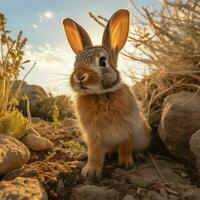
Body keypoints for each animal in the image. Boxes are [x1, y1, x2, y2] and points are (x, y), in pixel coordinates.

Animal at [61, 9, 151, 178]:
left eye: (102, 61)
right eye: (76, 63)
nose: (79, 76)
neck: (101, 94)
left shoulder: (128, 129)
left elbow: (126, 146)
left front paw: (126, 162)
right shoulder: (93, 136)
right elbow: (95, 152)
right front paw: (91, 170)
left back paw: (137, 155)